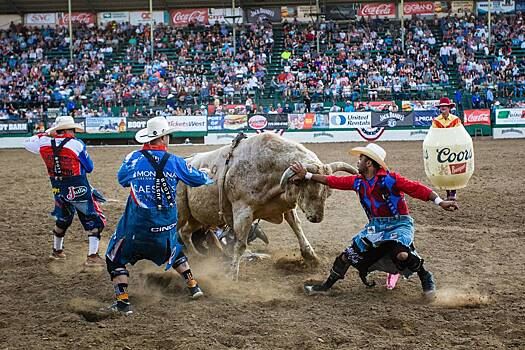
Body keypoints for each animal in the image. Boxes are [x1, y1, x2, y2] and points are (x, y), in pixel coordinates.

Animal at [177, 133, 356, 278]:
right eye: (309, 190)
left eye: (328, 193)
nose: (317, 218)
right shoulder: (243, 212)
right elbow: (240, 244)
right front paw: (232, 274)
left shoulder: (286, 205)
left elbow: (297, 227)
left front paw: (310, 256)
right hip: (181, 212)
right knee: (178, 231)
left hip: (198, 218)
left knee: (185, 232)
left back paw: (199, 257)